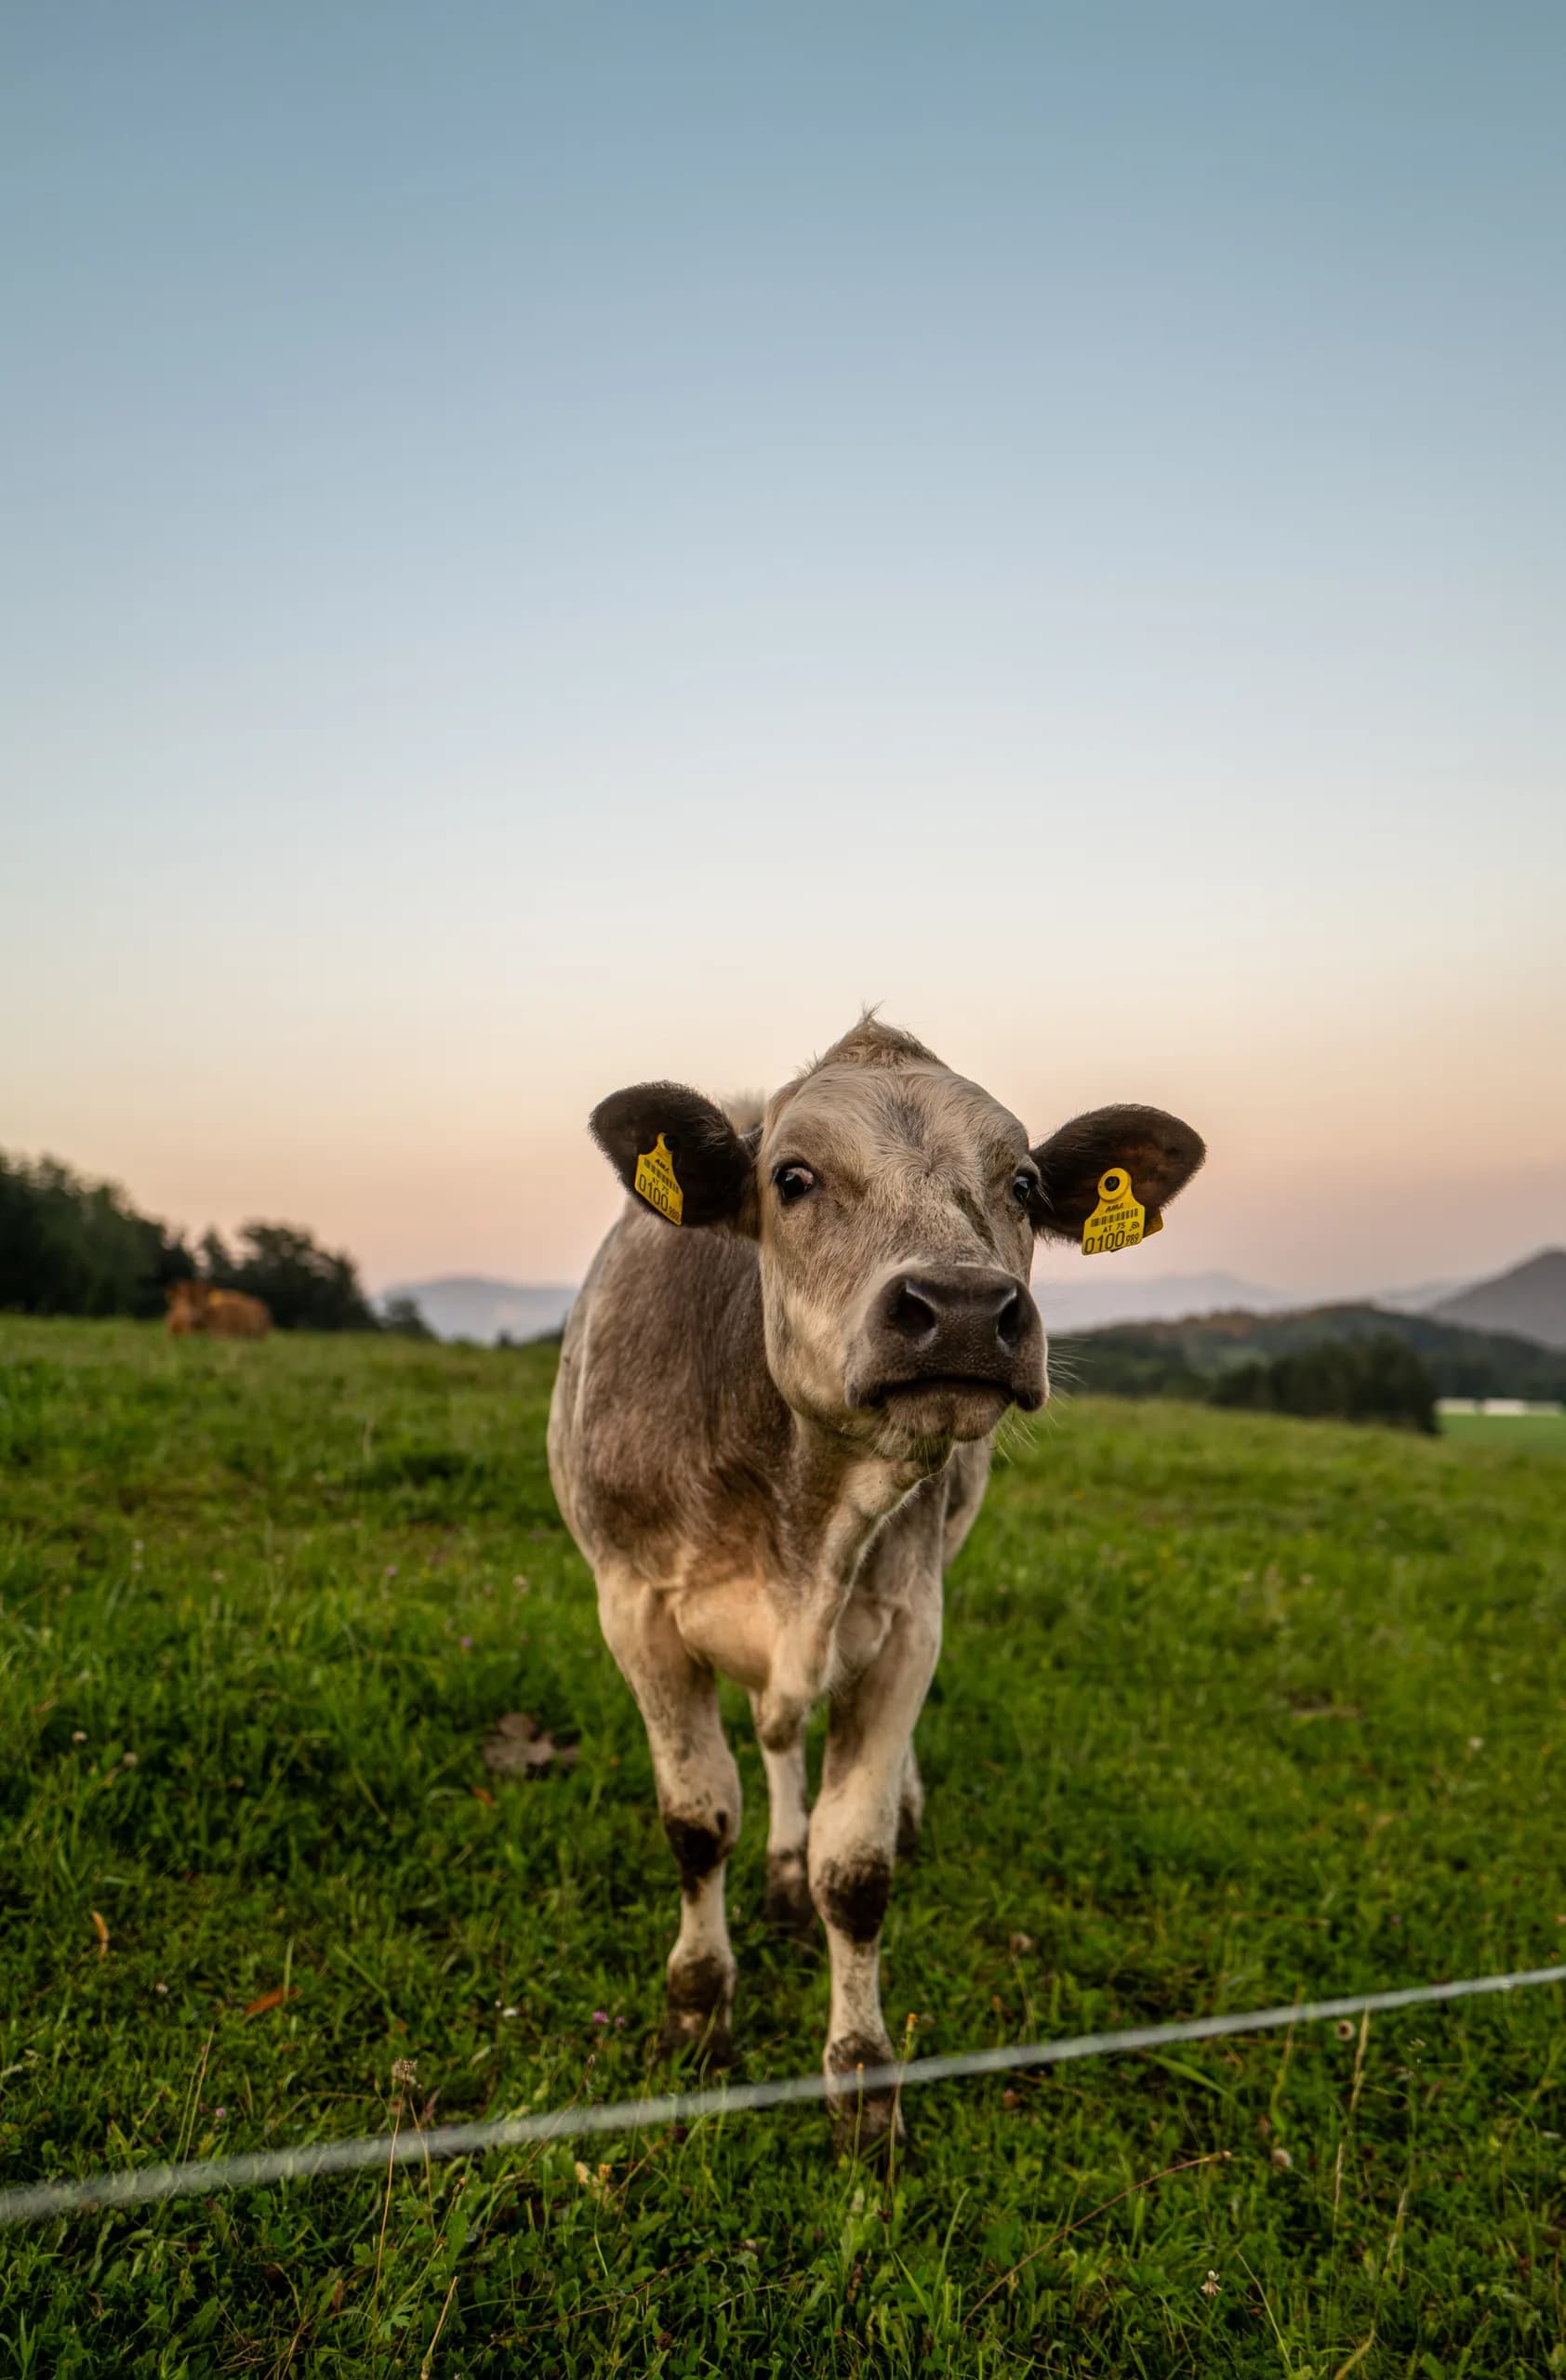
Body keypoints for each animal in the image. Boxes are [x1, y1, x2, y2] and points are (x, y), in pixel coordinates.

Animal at [548, 1017, 1204, 2148]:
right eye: (792, 1177)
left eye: (1024, 1183)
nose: (965, 1308)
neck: (805, 1518)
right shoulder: (636, 1609)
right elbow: (698, 1823)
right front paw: (697, 2010)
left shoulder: (904, 1626)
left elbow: (854, 1872)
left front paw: (861, 2077)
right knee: (771, 1739)